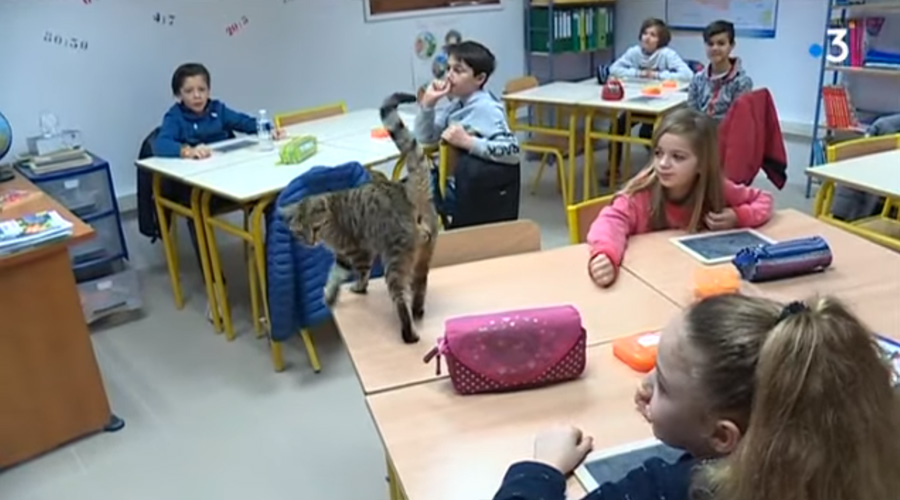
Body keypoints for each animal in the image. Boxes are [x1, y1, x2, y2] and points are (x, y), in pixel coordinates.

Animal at [280, 92, 438, 344]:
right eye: (299, 232)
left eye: (315, 228)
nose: (310, 242)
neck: (331, 217)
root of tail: (407, 192)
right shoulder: (343, 255)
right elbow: (334, 274)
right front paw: (330, 295)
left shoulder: (358, 250)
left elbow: (358, 273)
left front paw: (356, 288)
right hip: (423, 257)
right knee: (420, 285)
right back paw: (418, 311)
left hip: (395, 260)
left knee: (401, 298)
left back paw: (409, 332)